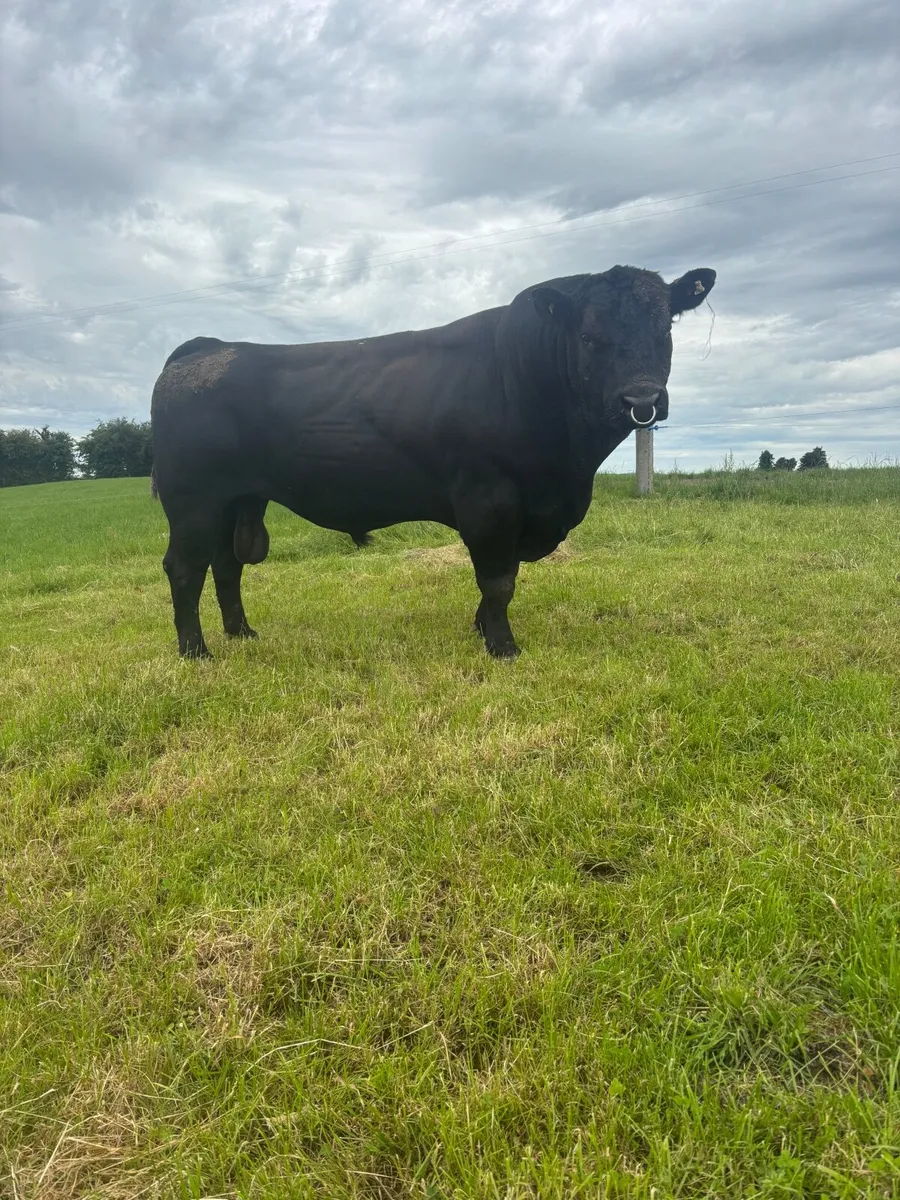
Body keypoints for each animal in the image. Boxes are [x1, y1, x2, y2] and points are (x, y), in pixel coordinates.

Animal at [150, 263, 716, 659]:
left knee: (226, 565)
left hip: (239, 499)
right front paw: (503, 647)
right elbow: (498, 579)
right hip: (192, 499)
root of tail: (204, 348)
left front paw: (483, 629)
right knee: (185, 567)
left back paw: (242, 634)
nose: (641, 399)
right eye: (589, 336)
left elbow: (501, 577)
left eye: (665, 329)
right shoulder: (489, 499)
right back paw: (196, 652)